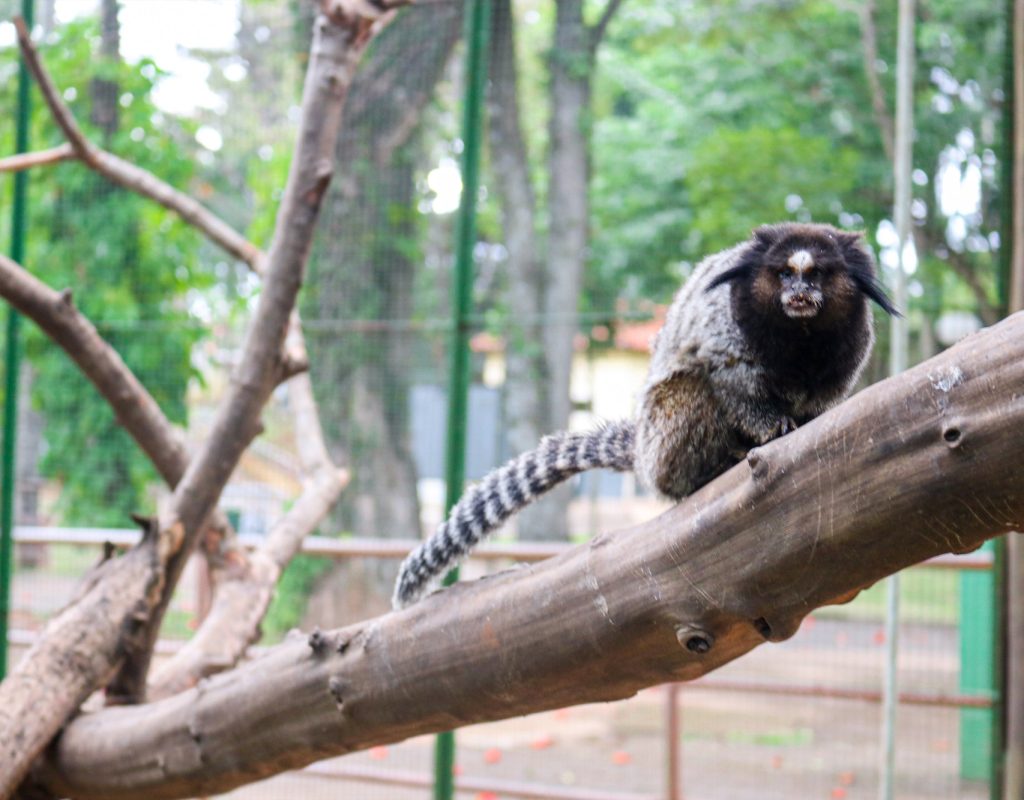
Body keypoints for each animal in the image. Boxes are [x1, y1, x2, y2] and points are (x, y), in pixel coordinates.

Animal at [391, 221, 897, 610]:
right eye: (785, 273)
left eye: (817, 276)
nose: (798, 293)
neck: (799, 336)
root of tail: (643, 451)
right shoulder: (728, 326)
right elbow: (728, 377)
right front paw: (772, 427)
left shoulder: (848, 346)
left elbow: (823, 397)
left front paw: (808, 420)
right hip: (664, 433)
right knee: (693, 390)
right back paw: (715, 467)